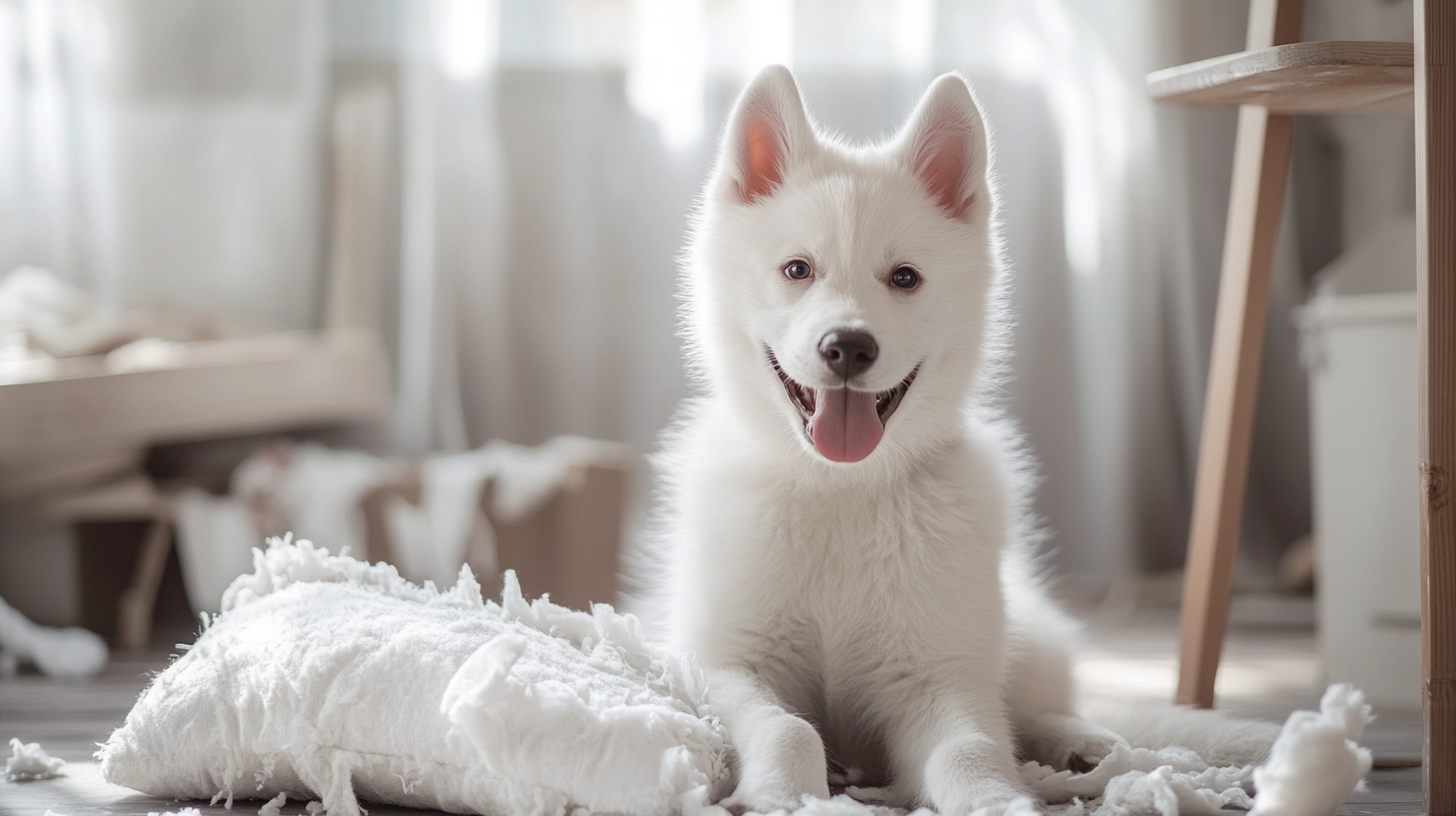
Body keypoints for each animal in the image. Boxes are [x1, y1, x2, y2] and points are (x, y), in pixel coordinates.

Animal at [649, 67, 1275, 810]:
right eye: (797, 270)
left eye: (904, 278)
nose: (848, 348)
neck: (844, 491)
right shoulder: (721, 663)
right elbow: (787, 726)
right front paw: (783, 793)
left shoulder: (938, 678)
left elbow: (970, 746)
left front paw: (994, 799)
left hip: (1016, 634)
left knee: (1036, 705)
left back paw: (1080, 745)